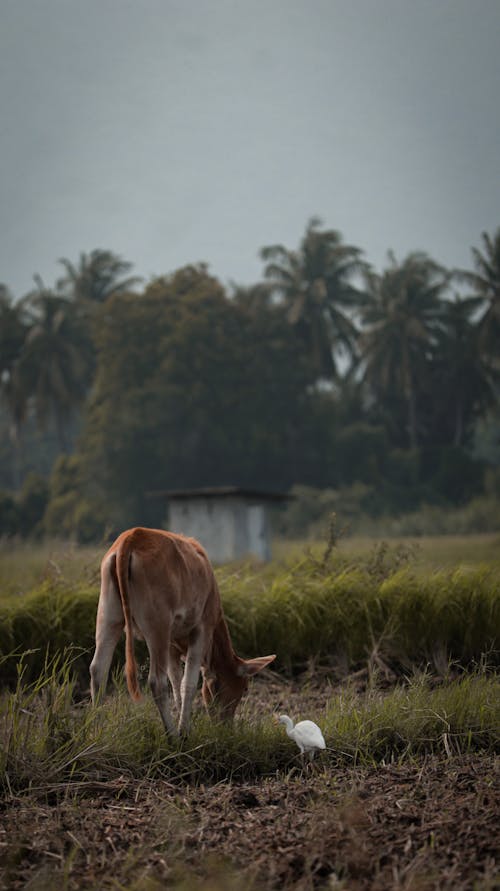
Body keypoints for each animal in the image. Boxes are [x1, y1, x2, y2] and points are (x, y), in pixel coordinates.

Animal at [91, 528, 278, 736]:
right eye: (244, 688)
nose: (225, 726)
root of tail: (132, 537)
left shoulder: (172, 646)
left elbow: (176, 682)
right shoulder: (201, 630)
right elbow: (188, 683)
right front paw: (184, 731)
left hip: (108, 616)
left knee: (98, 670)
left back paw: (97, 729)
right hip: (158, 626)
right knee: (156, 681)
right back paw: (171, 734)